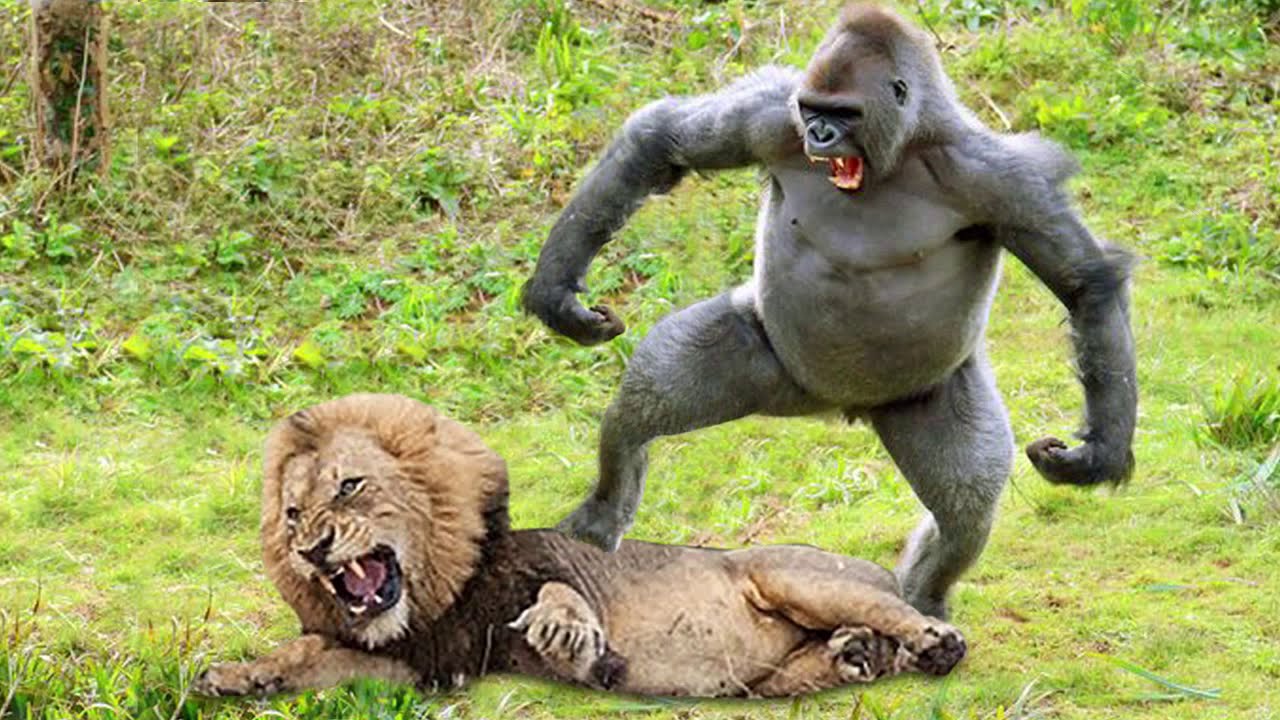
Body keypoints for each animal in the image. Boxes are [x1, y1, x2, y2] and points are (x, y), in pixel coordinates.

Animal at [194, 394, 966, 698]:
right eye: (293, 515)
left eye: (350, 487)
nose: (312, 548)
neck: (433, 593)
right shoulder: (426, 660)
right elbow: (307, 656)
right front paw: (234, 677)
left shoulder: (551, 564)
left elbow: (559, 593)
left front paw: (567, 636)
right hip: (768, 677)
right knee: (840, 655)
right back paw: (858, 655)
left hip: (796, 577)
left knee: (903, 617)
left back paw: (931, 642)